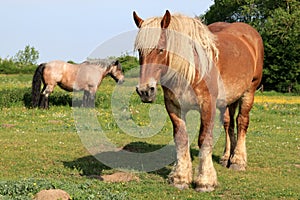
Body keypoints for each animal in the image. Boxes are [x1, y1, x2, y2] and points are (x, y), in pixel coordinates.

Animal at [133, 10, 262, 191]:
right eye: (140, 50)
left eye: (161, 49)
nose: (145, 91)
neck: (192, 69)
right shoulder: (174, 107)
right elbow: (181, 138)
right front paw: (180, 178)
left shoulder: (208, 105)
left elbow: (204, 139)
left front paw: (205, 181)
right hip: (228, 101)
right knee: (229, 124)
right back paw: (226, 157)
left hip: (249, 92)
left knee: (242, 122)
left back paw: (238, 161)